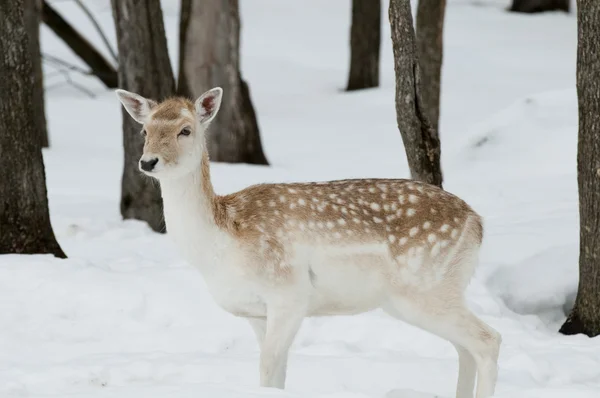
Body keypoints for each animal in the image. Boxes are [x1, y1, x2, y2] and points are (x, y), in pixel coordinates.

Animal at [115, 87, 500, 398]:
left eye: (186, 129)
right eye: (144, 130)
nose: (148, 161)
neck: (220, 246)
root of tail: (477, 223)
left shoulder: (289, 292)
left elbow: (268, 366)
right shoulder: (256, 310)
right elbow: (277, 372)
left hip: (424, 286)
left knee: (488, 340)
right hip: (433, 292)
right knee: (464, 348)